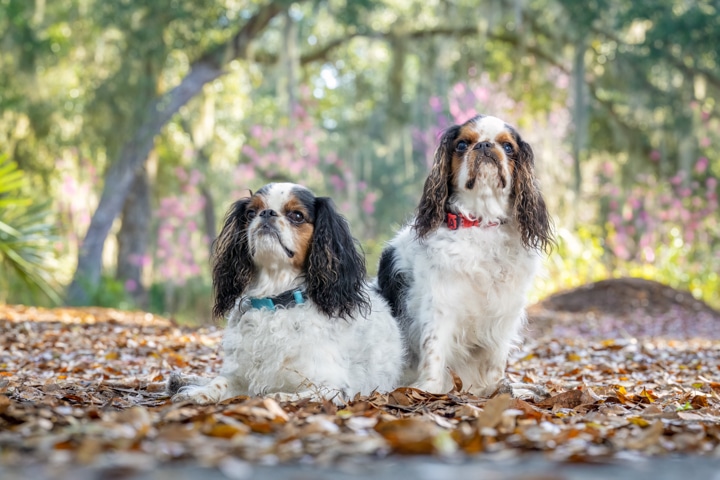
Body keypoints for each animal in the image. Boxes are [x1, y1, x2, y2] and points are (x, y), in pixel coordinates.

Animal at [169, 184, 404, 404]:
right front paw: (196, 393)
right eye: (251, 213)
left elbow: (288, 395)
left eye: (297, 216)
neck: (275, 298)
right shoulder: (238, 376)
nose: (267, 213)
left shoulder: (334, 387)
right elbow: (219, 382)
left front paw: (271, 397)